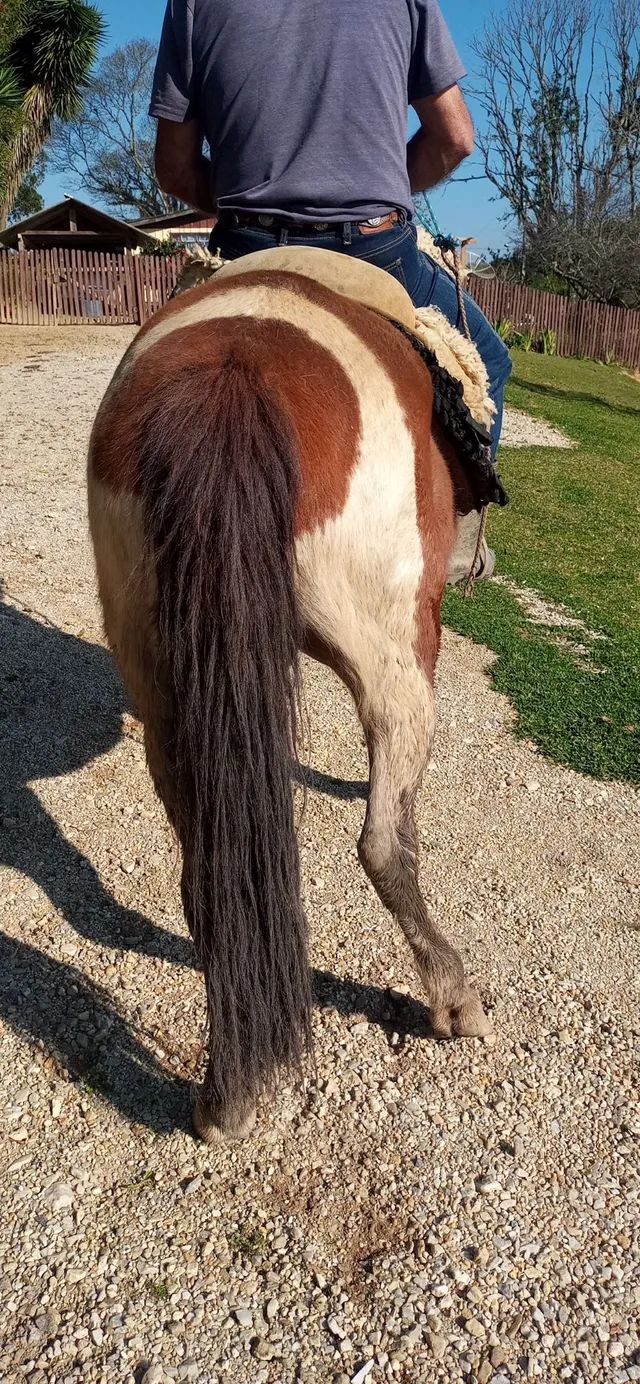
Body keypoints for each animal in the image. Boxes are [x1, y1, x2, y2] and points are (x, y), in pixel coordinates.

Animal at [87, 254, 493, 1140]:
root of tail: (234, 374)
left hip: (161, 683)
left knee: (212, 871)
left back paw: (228, 1096)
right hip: (396, 662)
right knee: (384, 844)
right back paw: (454, 998)